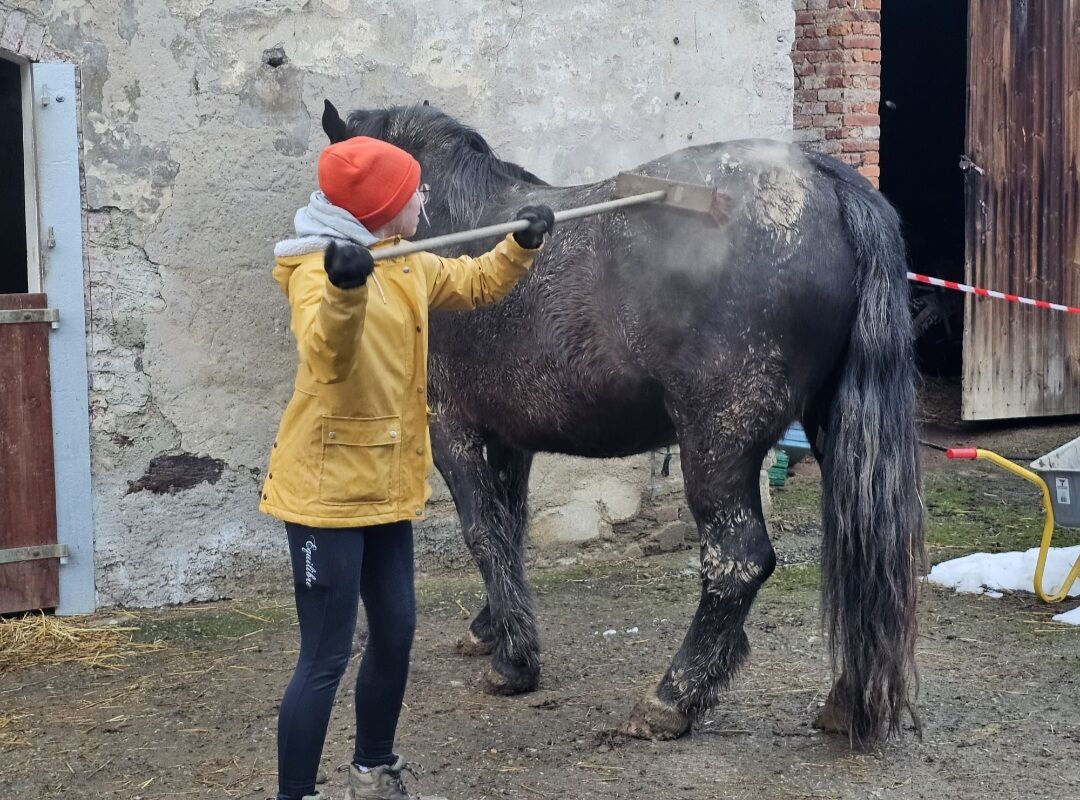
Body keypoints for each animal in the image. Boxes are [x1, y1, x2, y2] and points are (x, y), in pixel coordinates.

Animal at [320, 100, 924, 749]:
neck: (447, 229)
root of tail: (821, 180)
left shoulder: (453, 429)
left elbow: (484, 533)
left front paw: (514, 662)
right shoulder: (510, 440)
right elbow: (510, 527)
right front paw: (492, 629)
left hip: (717, 441)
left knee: (737, 560)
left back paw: (672, 698)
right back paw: (846, 701)